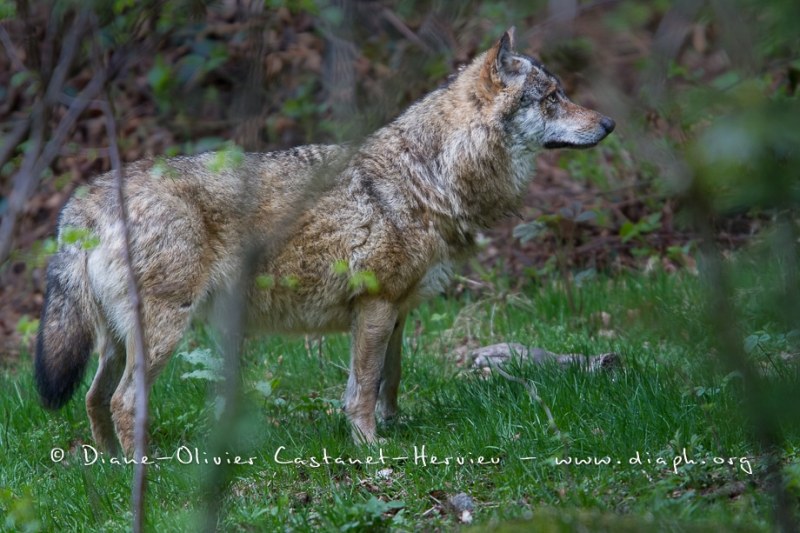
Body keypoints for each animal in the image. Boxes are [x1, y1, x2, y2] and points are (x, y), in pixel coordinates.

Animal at [34, 29, 616, 454]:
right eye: (554, 97)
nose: (609, 122)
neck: (431, 175)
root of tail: (86, 198)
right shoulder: (376, 305)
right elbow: (361, 388)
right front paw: (370, 447)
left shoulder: (397, 311)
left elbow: (389, 380)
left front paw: (394, 428)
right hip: (161, 336)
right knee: (124, 401)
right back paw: (142, 469)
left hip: (117, 341)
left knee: (94, 398)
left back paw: (109, 464)